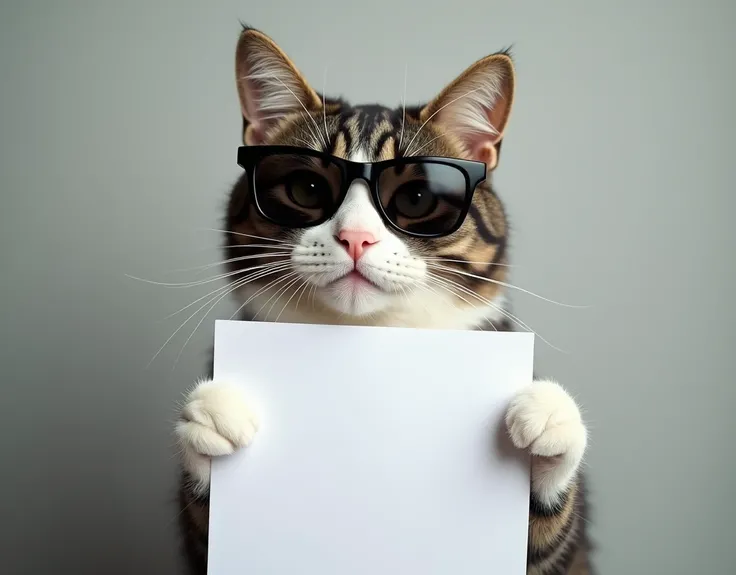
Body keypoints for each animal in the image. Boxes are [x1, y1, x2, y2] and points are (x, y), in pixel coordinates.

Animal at [172, 23, 592, 575]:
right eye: (308, 188)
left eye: (417, 198)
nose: (356, 237)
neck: (370, 336)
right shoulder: (196, 546)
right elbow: (202, 528)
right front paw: (214, 415)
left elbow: (545, 538)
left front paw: (547, 418)